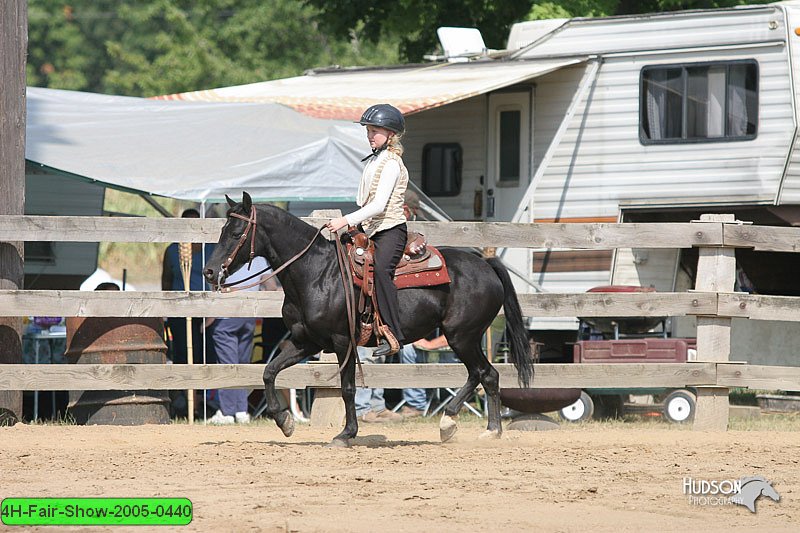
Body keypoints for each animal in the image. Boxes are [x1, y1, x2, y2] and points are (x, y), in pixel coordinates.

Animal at [206, 192, 532, 444]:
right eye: (221, 231)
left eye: (235, 233)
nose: (209, 271)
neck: (317, 273)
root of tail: (485, 264)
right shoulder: (306, 342)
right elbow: (269, 371)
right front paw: (284, 421)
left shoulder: (342, 341)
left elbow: (347, 388)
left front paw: (346, 434)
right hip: (465, 338)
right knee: (482, 374)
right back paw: (470, 426)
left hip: (461, 335)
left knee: (484, 373)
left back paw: (472, 426)